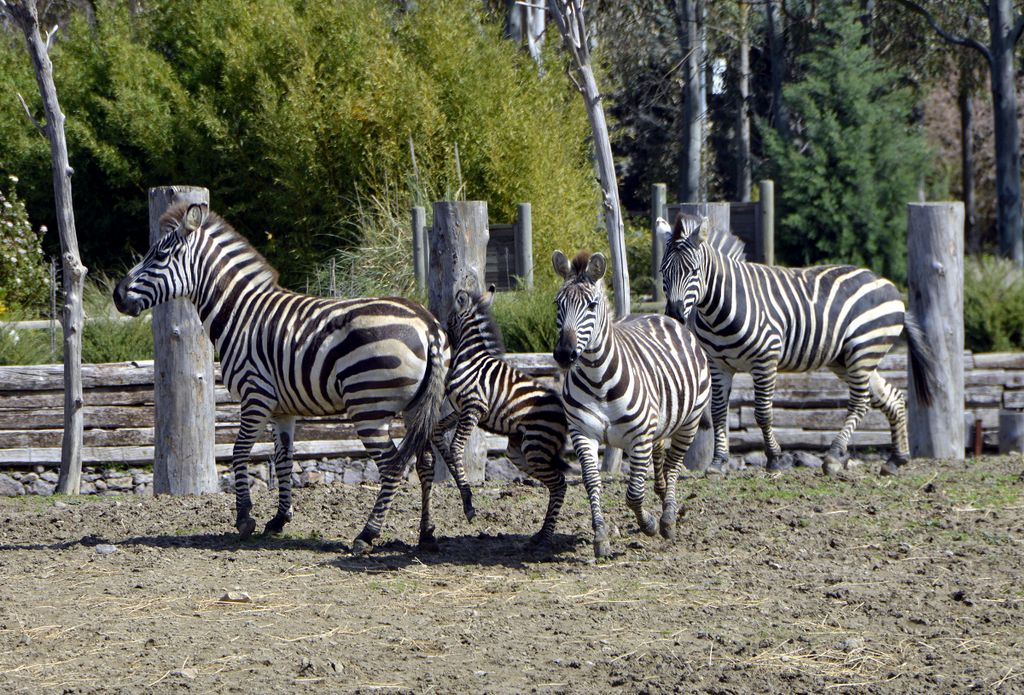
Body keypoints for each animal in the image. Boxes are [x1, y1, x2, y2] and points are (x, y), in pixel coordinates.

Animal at [110, 201, 450, 552]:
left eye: (160, 256)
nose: (117, 295)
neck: (240, 314)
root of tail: (427, 324)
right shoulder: (282, 408)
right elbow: (283, 458)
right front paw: (279, 519)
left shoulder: (255, 395)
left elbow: (239, 451)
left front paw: (245, 518)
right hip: (416, 406)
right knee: (425, 462)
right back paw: (426, 534)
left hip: (369, 404)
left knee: (392, 466)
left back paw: (367, 534)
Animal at [438, 282, 573, 548]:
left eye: (449, 318)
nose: (441, 332)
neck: (469, 358)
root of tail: (561, 410)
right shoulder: (459, 409)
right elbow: (439, 433)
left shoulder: (473, 407)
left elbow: (456, 447)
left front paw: (468, 503)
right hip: (519, 451)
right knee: (556, 484)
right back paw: (540, 535)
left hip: (535, 447)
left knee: (560, 484)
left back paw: (545, 537)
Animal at [552, 249, 712, 560]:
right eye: (558, 304)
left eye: (592, 305)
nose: (564, 354)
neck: (597, 379)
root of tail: (660, 315)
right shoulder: (582, 433)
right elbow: (592, 482)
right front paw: (601, 537)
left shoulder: (639, 436)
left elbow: (634, 493)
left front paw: (648, 523)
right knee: (661, 456)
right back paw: (661, 495)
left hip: (689, 422)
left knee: (673, 466)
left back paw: (667, 520)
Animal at [659, 213, 937, 479]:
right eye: (663, 272)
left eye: (694, 271)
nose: (675, 315)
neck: (720, 308)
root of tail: (886, 283)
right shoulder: (719, 364)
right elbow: (718, 412)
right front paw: (718, 463)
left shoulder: (765, 359)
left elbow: (763, 413)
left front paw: (775, 459)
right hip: (847, 359)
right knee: (892, 397)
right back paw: (896, 460)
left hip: (864, 350)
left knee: (861, 402)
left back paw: (834, 457)